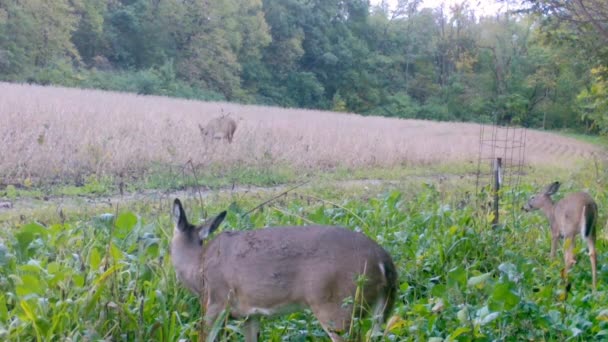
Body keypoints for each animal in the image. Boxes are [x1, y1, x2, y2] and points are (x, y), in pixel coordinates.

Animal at [170, 198, 400, 342]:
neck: (198, 266)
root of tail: (384, 261)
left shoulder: (216, 300)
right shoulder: (249, 314)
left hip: (337, 305)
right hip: (382, 308)